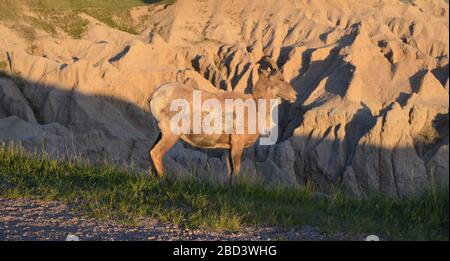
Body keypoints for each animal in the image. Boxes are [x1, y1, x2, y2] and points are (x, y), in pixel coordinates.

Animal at [147, 56, 296, 180]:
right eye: (281, 79)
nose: (295, 95)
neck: (256, 106)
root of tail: (157, 94)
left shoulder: (229, 148)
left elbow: (230, 170)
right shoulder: (237, 144)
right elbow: (236, 169)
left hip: (161, 134)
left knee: (150, 152)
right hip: (171, 134)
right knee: (156, 153)